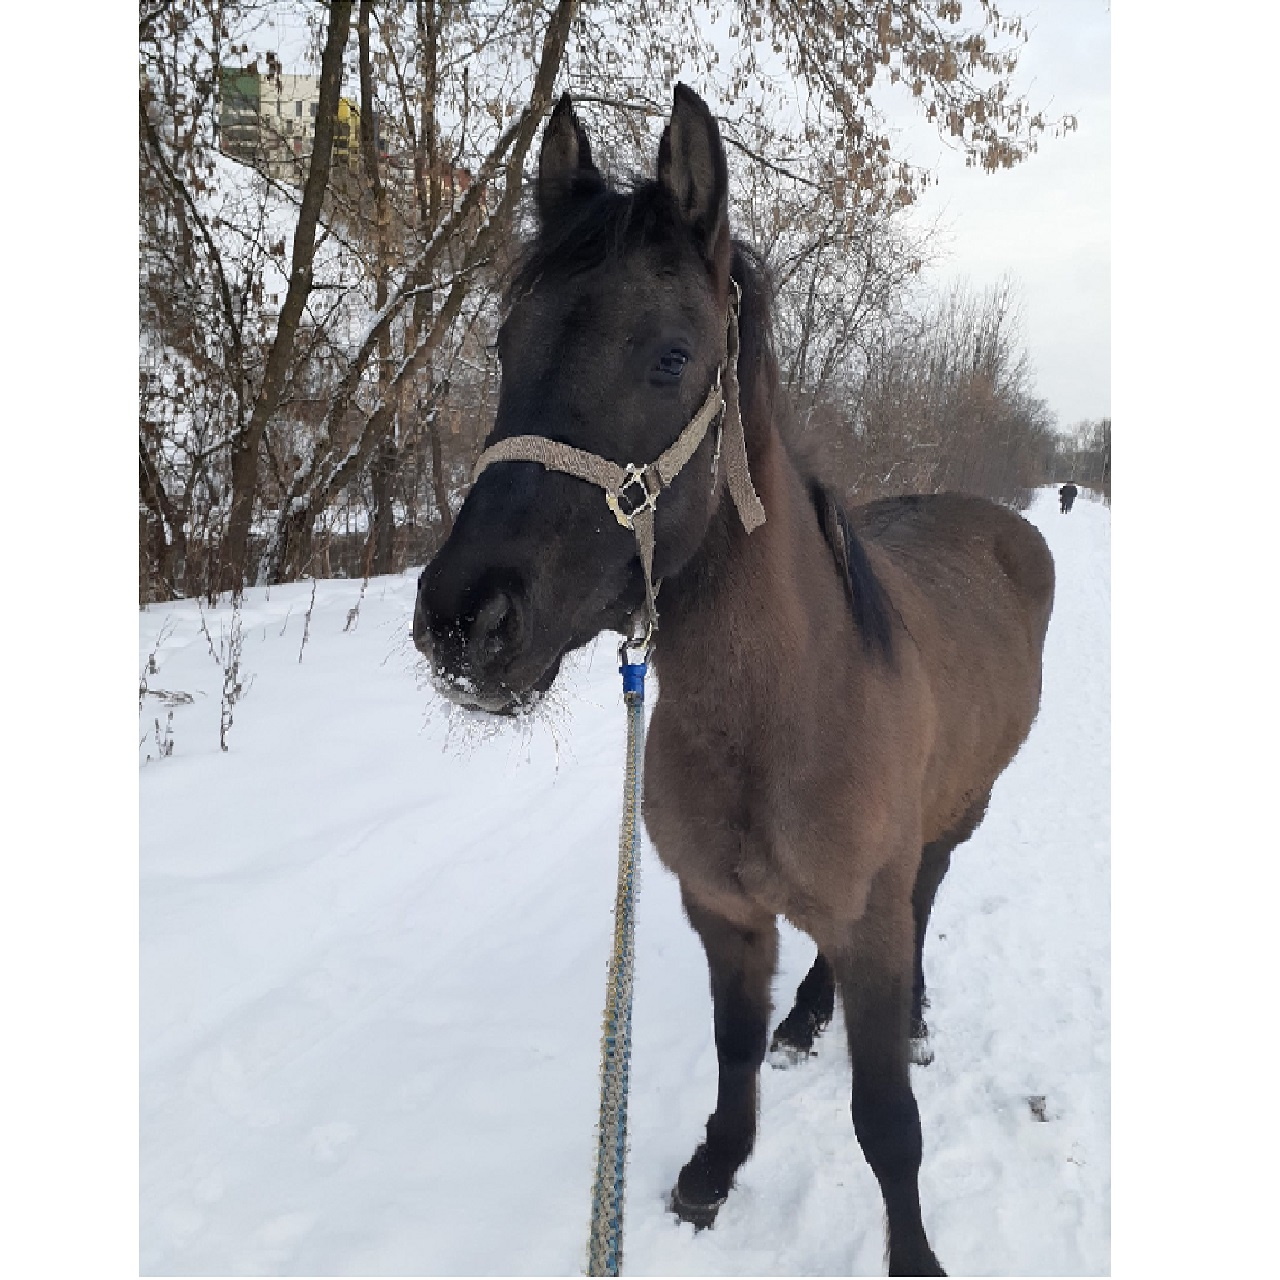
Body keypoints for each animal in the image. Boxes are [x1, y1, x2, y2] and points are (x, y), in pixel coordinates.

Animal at [414, 85, 1054, 1274]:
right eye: (505, 341)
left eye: (671, 357)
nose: (463, 619)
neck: (784, 712)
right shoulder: (719, 908)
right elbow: (733, 1046)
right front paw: (714, 1169)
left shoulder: (869, 910)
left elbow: (886, 1121)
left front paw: (913, 1250)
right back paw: (810, 1016)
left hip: (958, 812)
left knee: (926, 892)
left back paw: (907, 1012)